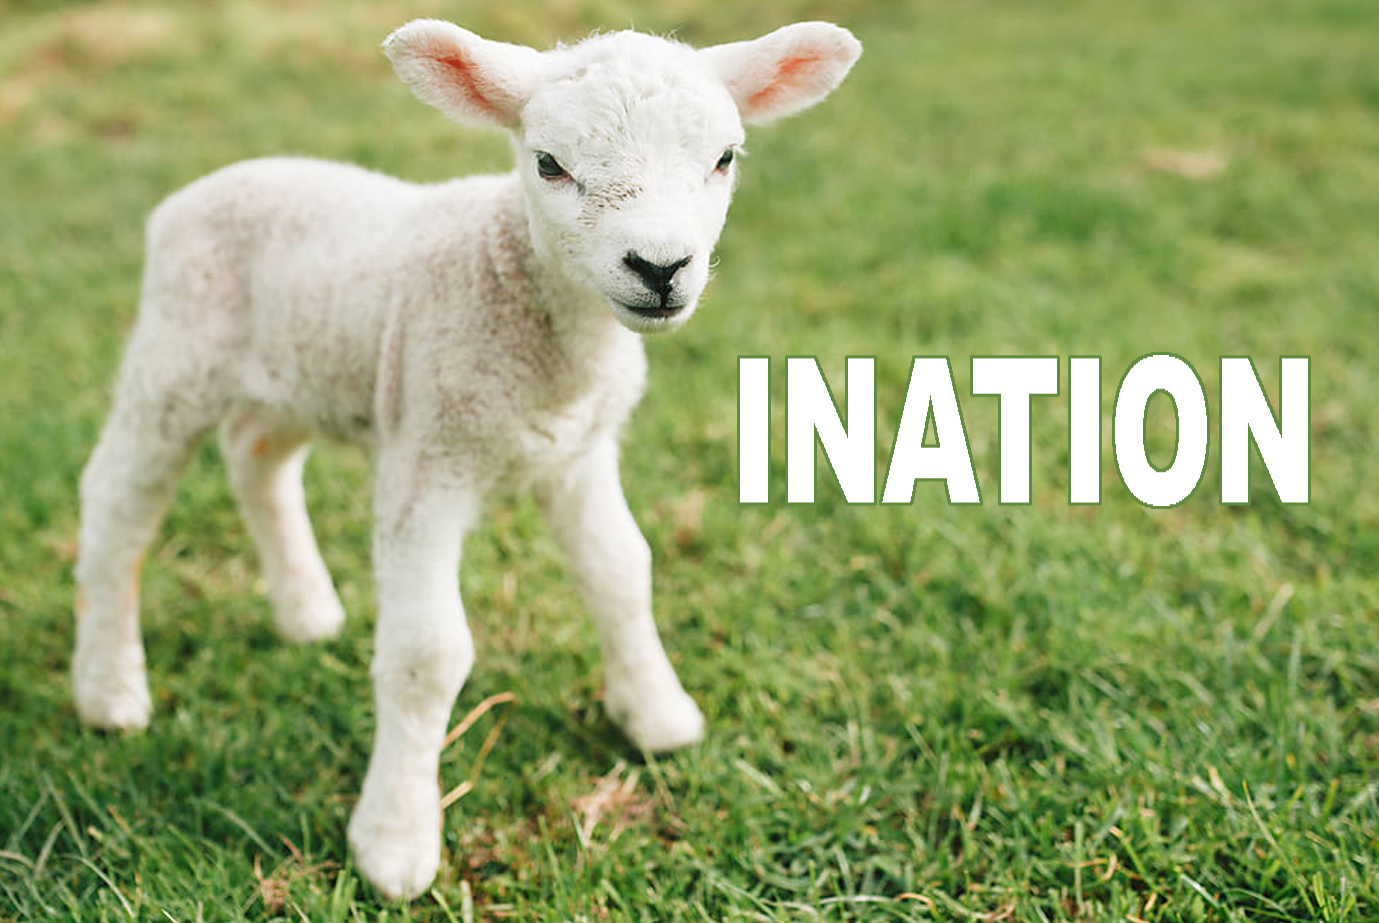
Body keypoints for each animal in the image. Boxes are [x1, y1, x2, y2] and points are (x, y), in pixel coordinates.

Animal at [72, 18, 861, 899]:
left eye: (724, 157)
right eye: (549, 163)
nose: (659, 268)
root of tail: (202, 188)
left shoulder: (578, 453)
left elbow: (623, 571)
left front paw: (656, 715)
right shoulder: (428, 460)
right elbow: (427, 654)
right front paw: (393, 842)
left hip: (300, 373)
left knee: (255, 455)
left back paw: (306, 611)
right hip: (174, 360)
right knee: (117, 504)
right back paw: (110, 690)